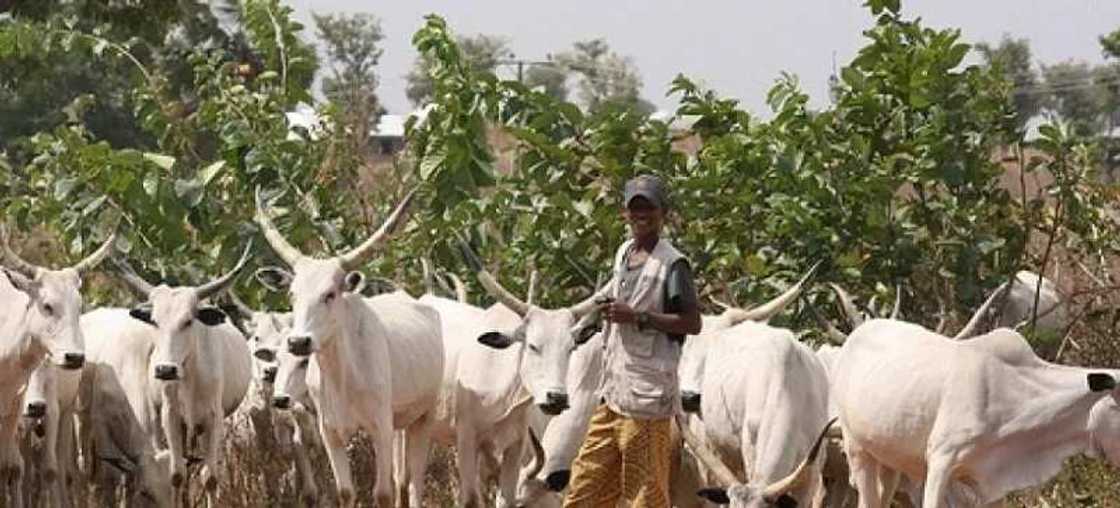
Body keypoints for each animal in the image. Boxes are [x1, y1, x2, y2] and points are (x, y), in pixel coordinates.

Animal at [112, 249, 254, 503]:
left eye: (188, 321)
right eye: (154, 321)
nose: (165, 370)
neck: (190, 377)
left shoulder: (214, 418)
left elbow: (210, 477)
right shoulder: (171, 417)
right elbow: (177, 474)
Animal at [256, 187, 443, 505]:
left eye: (330, 294)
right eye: (292, 294)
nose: (298, 341)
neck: (343, 375)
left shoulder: (380, 428)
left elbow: (383, 493)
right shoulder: (330, 432)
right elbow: (345, 491)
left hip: (423, 417)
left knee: (414, 481)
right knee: (403, 477)